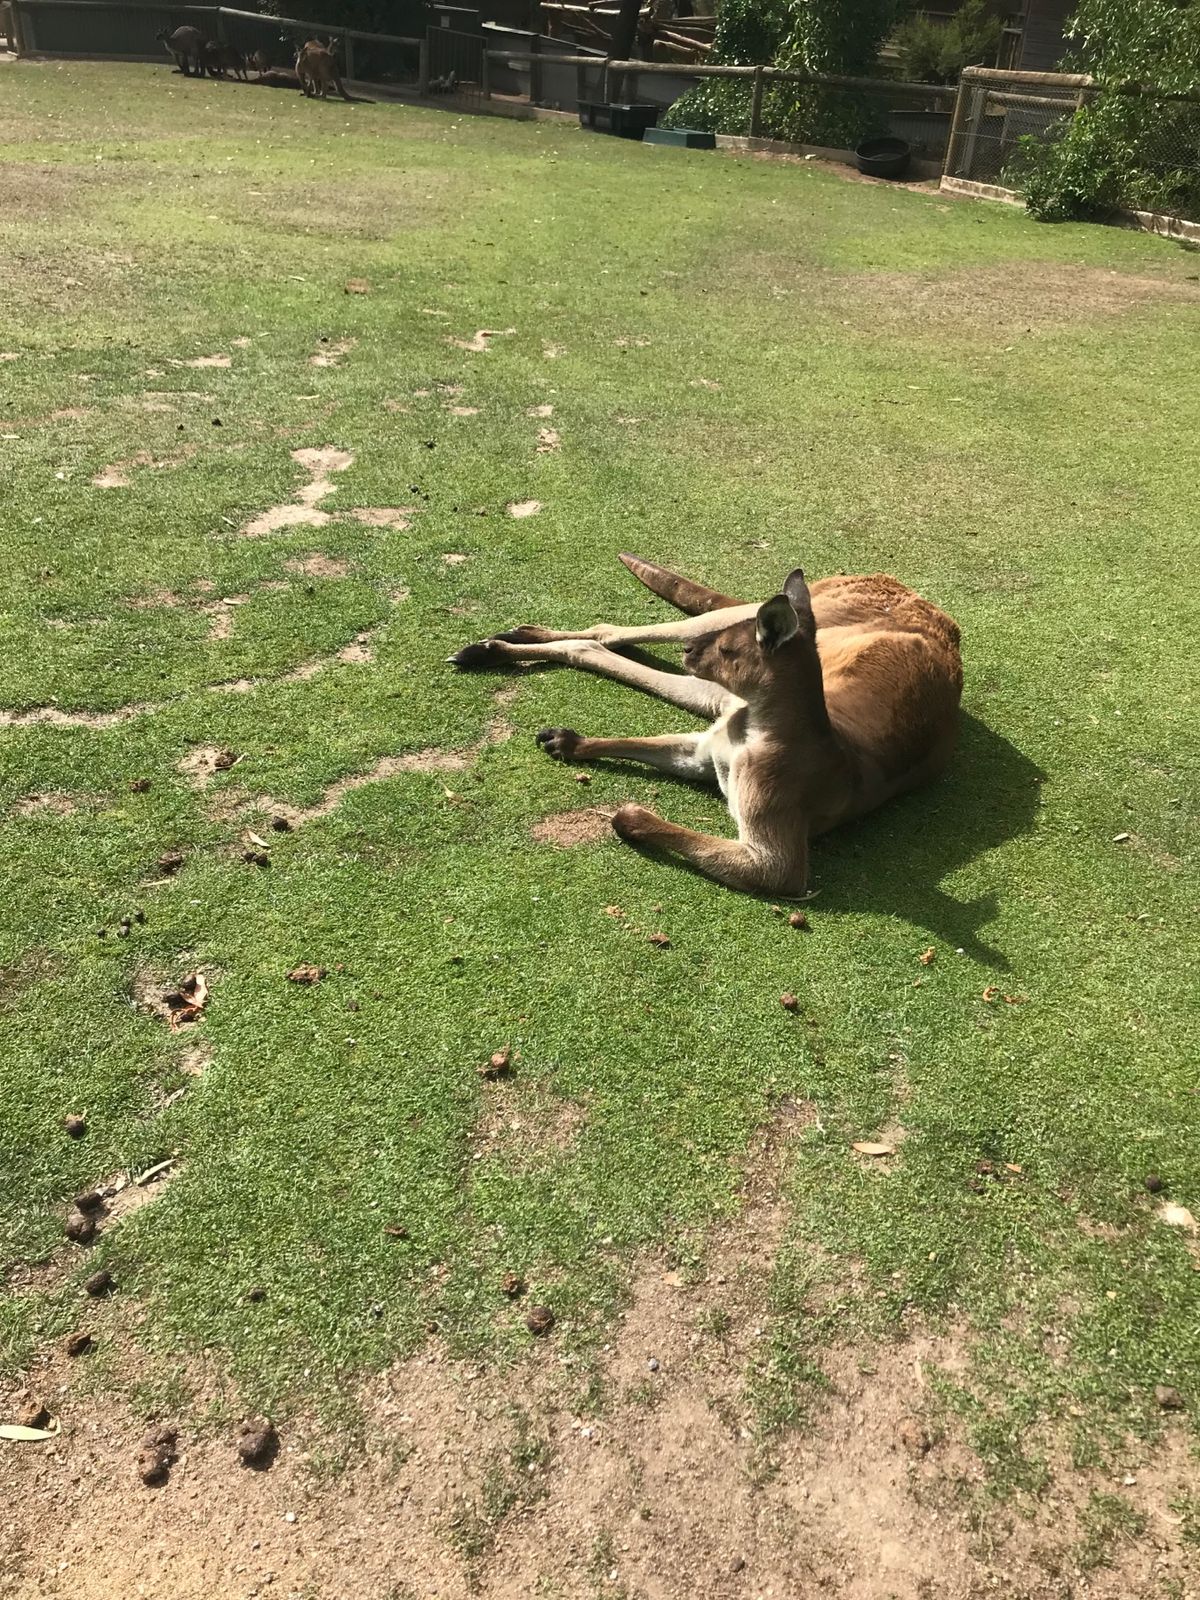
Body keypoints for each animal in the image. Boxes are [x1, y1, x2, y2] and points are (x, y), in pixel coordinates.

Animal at [451, 555, 963, 896]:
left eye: (728, 650)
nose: (691, 650)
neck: (755, 732)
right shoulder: (710, 746)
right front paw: (565, 740)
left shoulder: (767, 817)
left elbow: (777, 872)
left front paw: (625, 810)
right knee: (608, 634)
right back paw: (506, 642)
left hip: (718, 674)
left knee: (600, 642)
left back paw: (495, 648)